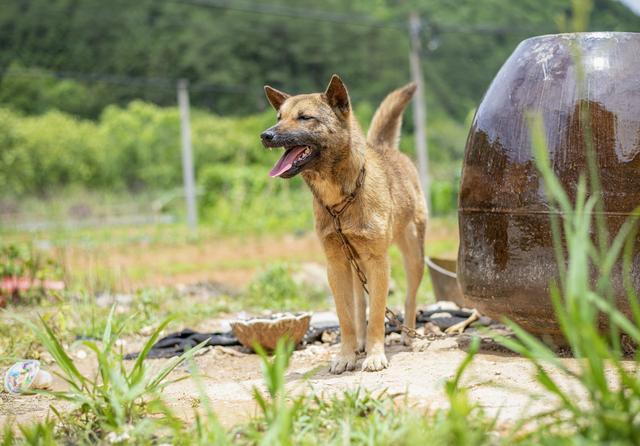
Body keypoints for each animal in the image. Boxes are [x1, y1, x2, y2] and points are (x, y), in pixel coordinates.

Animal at [258, 74, 428, 372]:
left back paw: (408, 336)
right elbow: (346, 316)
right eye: (279, 117)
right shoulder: (336, 266)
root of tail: (386, 148)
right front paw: (347, 355)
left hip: (413, 258)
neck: (340, 199)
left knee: (409, 298)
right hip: (356, 265)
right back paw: (359, 343)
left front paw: (375, 355)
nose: (266, 135)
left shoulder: (378, 262)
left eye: (305, 118)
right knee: (360, 306)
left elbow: (378, 316)